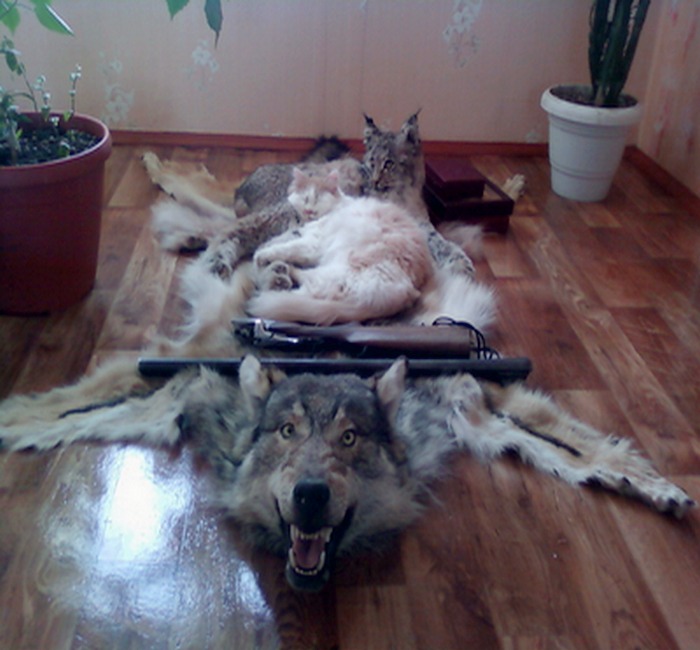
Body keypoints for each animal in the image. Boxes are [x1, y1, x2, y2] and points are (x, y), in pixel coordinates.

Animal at [246, 167, 434, 325]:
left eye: (318, 199)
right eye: (305, 199)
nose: (308, 211)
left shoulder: (313, 243)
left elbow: (286, 248)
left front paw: (261, 255)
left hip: (335, 270)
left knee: (303, 290)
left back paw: (277, 279)